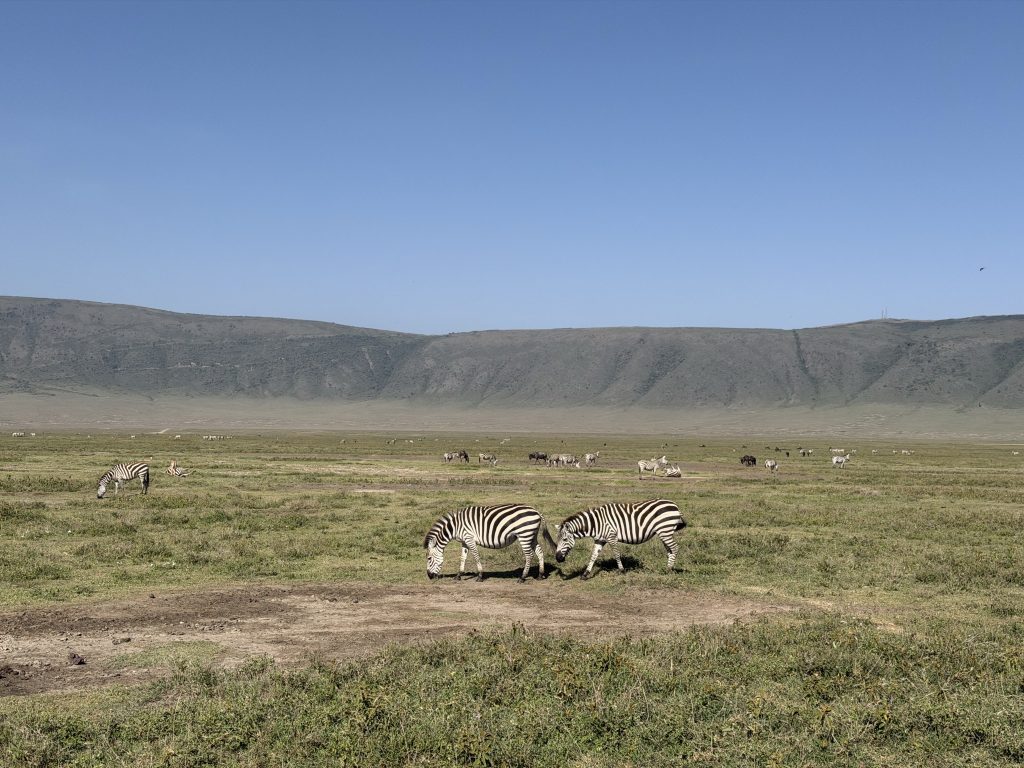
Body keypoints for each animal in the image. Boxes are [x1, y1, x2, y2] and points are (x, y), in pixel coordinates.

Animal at [424, 503, 556, 582]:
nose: (429, 576)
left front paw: (480, 576)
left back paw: (522, 577)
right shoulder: (464, 541)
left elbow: (476, 557)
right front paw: (458, 575)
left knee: (529, 555)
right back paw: (540, 575)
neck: (455, 527)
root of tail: (536, 511)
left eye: (429, 558)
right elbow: (463, 558)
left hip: (524, 534)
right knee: (539, 552)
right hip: (531, 535)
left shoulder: (469, 538)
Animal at [554, 498, 686, 579]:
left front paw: (622, 570)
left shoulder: (611, 536)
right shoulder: (600, 539)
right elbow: (593, 556)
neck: (596, 523)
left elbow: (617, 554)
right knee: (670, 550)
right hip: (664, 532)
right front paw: (585, 574)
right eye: (558, 540)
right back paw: (667, 569)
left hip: (665, 530)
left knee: (675, 548)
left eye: (564, 540)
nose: (558, 558)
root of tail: (675, 505)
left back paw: (669, 569)